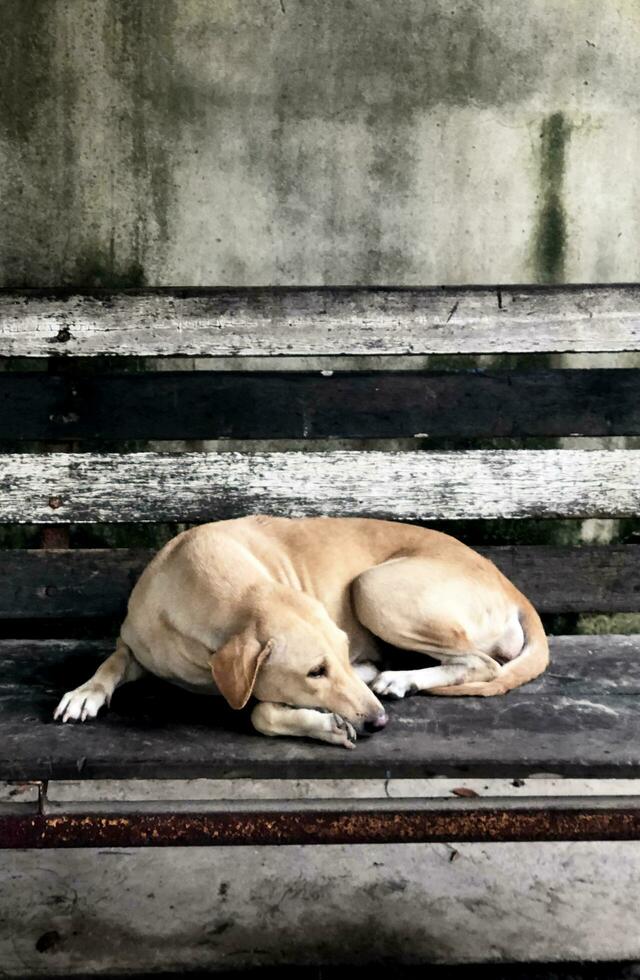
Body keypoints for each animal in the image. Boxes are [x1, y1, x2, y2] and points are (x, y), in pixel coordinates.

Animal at [52, 516, 548, 748]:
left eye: (340, 657)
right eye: (315, 671)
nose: (379, 723)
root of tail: (511, 587)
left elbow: (259, 712)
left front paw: (323, 725)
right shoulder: (136, 644)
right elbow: (112, 660)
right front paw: (85, 691)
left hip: (373, 587)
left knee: (481, 663)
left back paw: (398, 678)